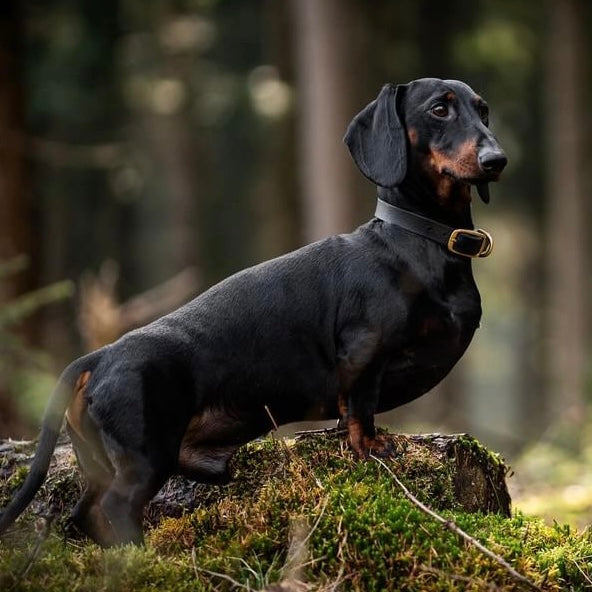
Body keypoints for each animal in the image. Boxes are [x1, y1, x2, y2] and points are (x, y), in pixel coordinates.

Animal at [1, 78, 504, 544]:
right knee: (116, 508)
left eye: (483, 110)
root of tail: (101, 355)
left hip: (101, 463)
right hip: (146, 455)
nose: (496, 160)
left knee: (85, 513)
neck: (415, 242)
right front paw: (372, 445)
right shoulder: (365, 352)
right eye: (438, 109)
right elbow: (360, 408)